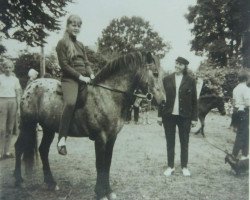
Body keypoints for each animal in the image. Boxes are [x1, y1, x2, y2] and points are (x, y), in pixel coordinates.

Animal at [14, 52, 166, 200]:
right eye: (155, 73)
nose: (163, 101)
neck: (108, 95)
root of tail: (31, 86)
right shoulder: (100, 138)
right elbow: (99, 164)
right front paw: (100, 193)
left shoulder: (112, 138)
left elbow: (107, 164)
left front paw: (109, 191)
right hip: (27, 125)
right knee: (19, 147)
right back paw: (19, 180)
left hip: (48, 129)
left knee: (43, 150)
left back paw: (50, 182)